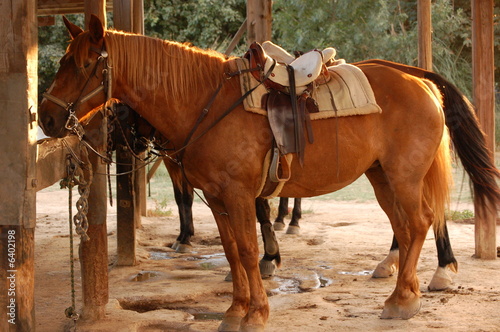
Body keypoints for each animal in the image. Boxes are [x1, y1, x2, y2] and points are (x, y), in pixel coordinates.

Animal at [40, 16, 500, 332]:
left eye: (83, 64)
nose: (45, 117)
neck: (203, 101)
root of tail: (420, 80)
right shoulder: (218, 198)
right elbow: (231, 251)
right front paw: (235, 309)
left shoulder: (239, 194)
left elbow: (247, 250)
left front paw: (256, 313)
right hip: (381, 177)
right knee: (405, 230)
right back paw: (404, 292)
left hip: (404, 177)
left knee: (422, 222)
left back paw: (406, 298)